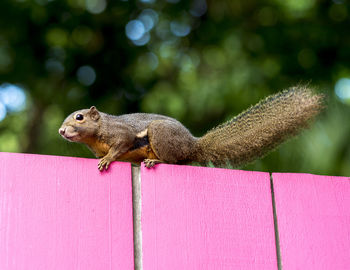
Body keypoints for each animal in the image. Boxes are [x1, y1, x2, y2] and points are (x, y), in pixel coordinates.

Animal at [57, 86, 322, 171]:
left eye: (79, 117)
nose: (61, 131)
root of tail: (192, 145)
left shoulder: (122, 133)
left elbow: (120, 144)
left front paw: (107, 160)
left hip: (160, 135)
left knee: (173, 161)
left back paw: (155, 161)